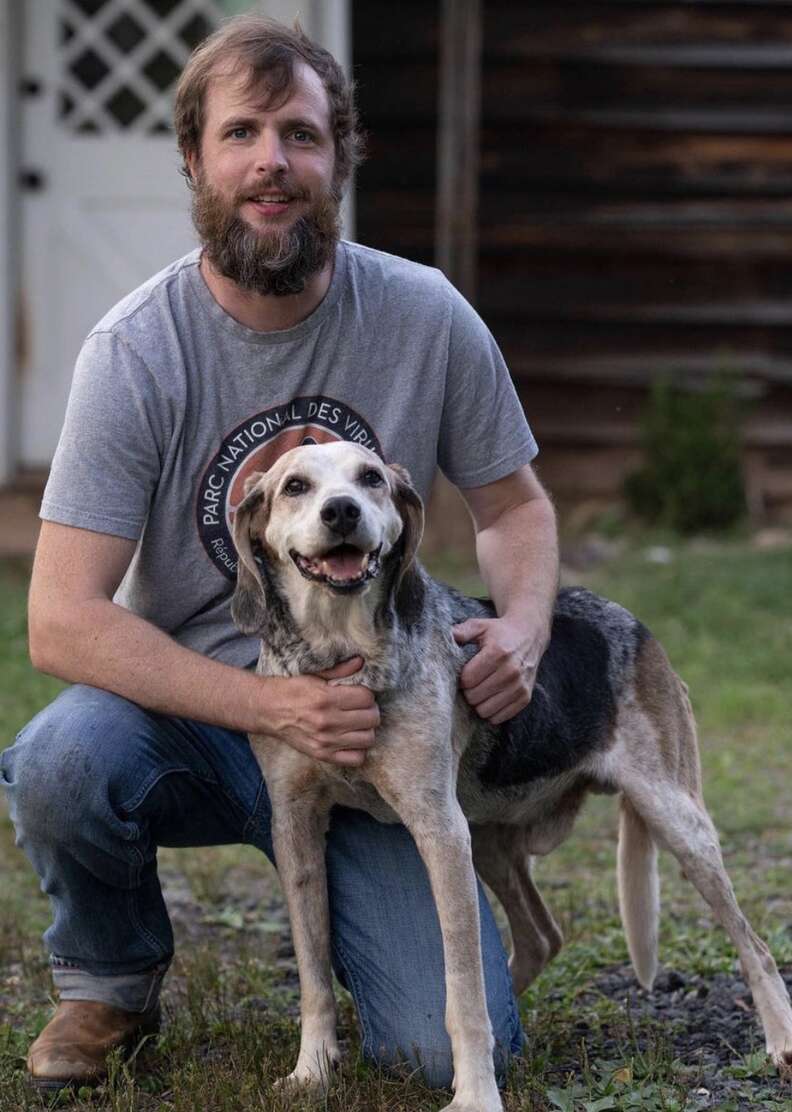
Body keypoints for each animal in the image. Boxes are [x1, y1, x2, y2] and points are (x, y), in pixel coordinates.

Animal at [230, 438, 792, 1107]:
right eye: (295, 486)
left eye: (370, 478)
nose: (341, 511)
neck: (341, 654)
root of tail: (631, 620)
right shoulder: (295, 828)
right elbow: (314, 974)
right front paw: (312, 1071)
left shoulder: (439, 832)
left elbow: (464, 993)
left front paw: (475, 1092)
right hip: (491, 840)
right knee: (542, 936)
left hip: (676, 821)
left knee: (755, 947)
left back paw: (780, 1041)